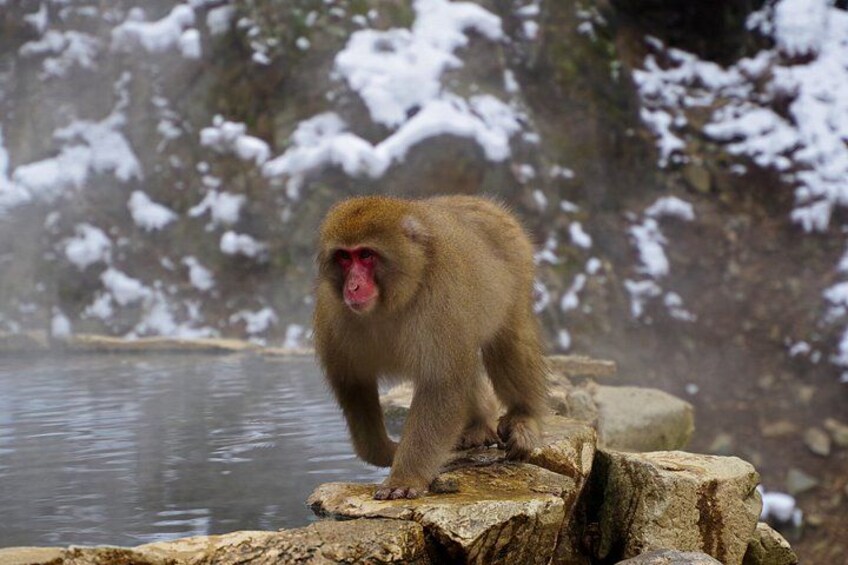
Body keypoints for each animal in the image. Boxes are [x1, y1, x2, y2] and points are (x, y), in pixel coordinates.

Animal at [313, 195, 548, 500]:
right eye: (344, 256)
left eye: (365, 255)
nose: (352, 287)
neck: (394, 301)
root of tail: (481, 202)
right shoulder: (333, 312)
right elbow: (353, 382)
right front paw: (387, 451)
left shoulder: (441, 297)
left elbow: (441, 382)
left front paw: (405, 477)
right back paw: (478, 422)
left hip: (518, 266)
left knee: (509, 339)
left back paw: (523, 416)